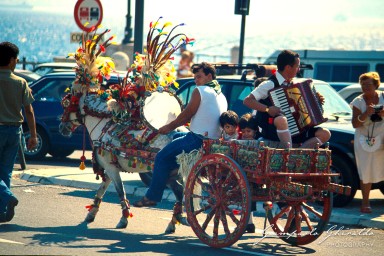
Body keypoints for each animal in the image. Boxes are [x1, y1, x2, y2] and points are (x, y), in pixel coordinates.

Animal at [59, 90, 189, 232]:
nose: (62, 127)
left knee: (179, 191)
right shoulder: (109, 168)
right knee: (180, 191)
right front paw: (91, 214)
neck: (104, 127)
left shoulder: (111, 169)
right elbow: (101, 190)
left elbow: (120, 191)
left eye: (67, 105)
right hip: (172, 173)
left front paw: (123, 219)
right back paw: (174, 222)